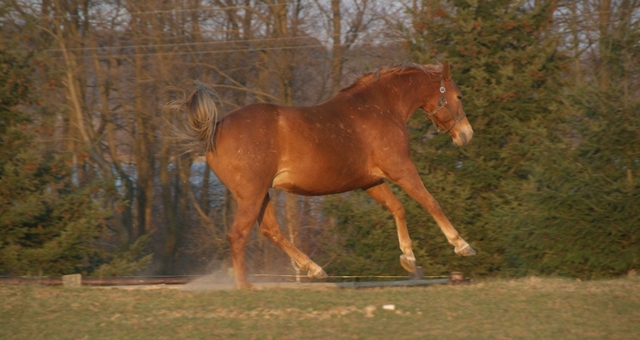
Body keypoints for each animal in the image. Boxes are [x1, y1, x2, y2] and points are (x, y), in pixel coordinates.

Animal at [170, 60, 476, 286]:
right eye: (459, 96)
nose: (467, 135)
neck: (380, 108)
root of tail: (215, 129)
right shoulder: (400, 169)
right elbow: (430, 202)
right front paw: (462, 245)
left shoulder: (371, 181)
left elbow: (398, 208)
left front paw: (409, 259)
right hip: (251, 195)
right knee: (238, 235)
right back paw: (246, 286)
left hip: (260, 195)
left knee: (271, 230)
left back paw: (314, 269)